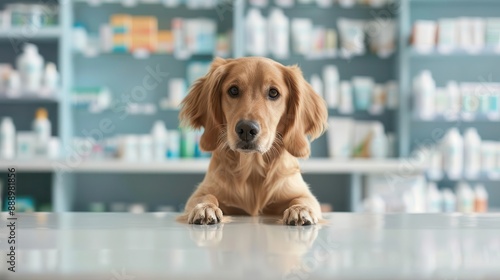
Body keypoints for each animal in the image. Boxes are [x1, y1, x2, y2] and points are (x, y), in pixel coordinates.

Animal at [179, 57, 328, 225]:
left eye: (273, 93)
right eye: (233, 90)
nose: (246, 129)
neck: (252, 168)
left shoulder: (302, 193)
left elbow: (302, 199)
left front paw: (300, 210)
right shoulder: (200, 192)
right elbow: (206, 196)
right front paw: (205, 207)